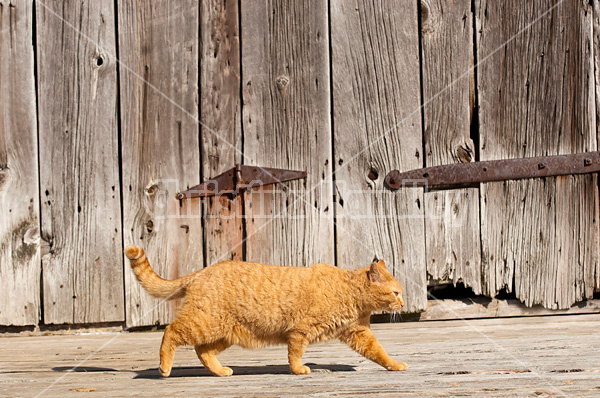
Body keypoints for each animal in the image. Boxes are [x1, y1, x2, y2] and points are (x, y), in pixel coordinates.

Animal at [126, 244, 408, 378]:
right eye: (396, 292)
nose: (403, 304)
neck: (350, 292)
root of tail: (204, 270)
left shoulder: (359, 334)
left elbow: (380, 353)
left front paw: (395, 365)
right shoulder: (301, 330)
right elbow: (295, 354)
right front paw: (299, 370)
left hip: (223, 334)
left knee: (202, 352)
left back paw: (221, 371)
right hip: (203, 324)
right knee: (170, 331)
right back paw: (164, 368)